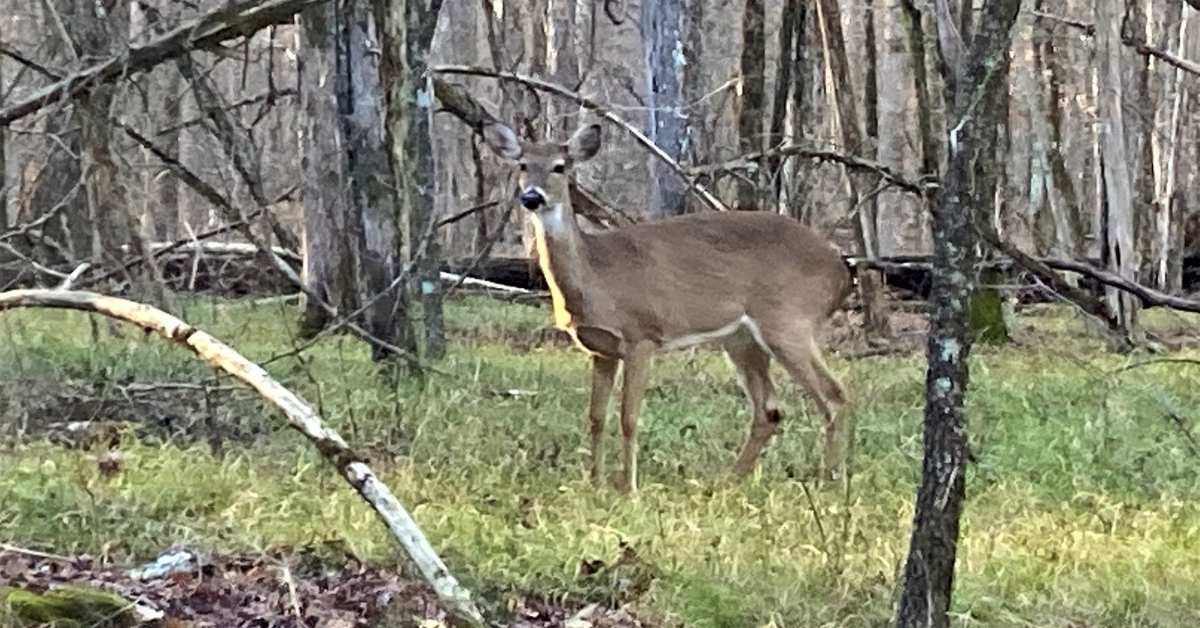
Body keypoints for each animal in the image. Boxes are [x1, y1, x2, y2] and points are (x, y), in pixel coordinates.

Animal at [481, 120, 852, 493]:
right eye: (522, 165)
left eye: (560, 167)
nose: (532, 197)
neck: (596, 275)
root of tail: (840, 270)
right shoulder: (601, 349)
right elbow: (596, 417)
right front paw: (594, 482)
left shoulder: (641, 336)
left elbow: (629, 417)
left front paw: (629, 488)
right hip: (741, 338)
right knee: (769, 409)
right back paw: (728, 480)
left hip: (788, 321)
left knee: (833, 395)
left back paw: (831, 481)